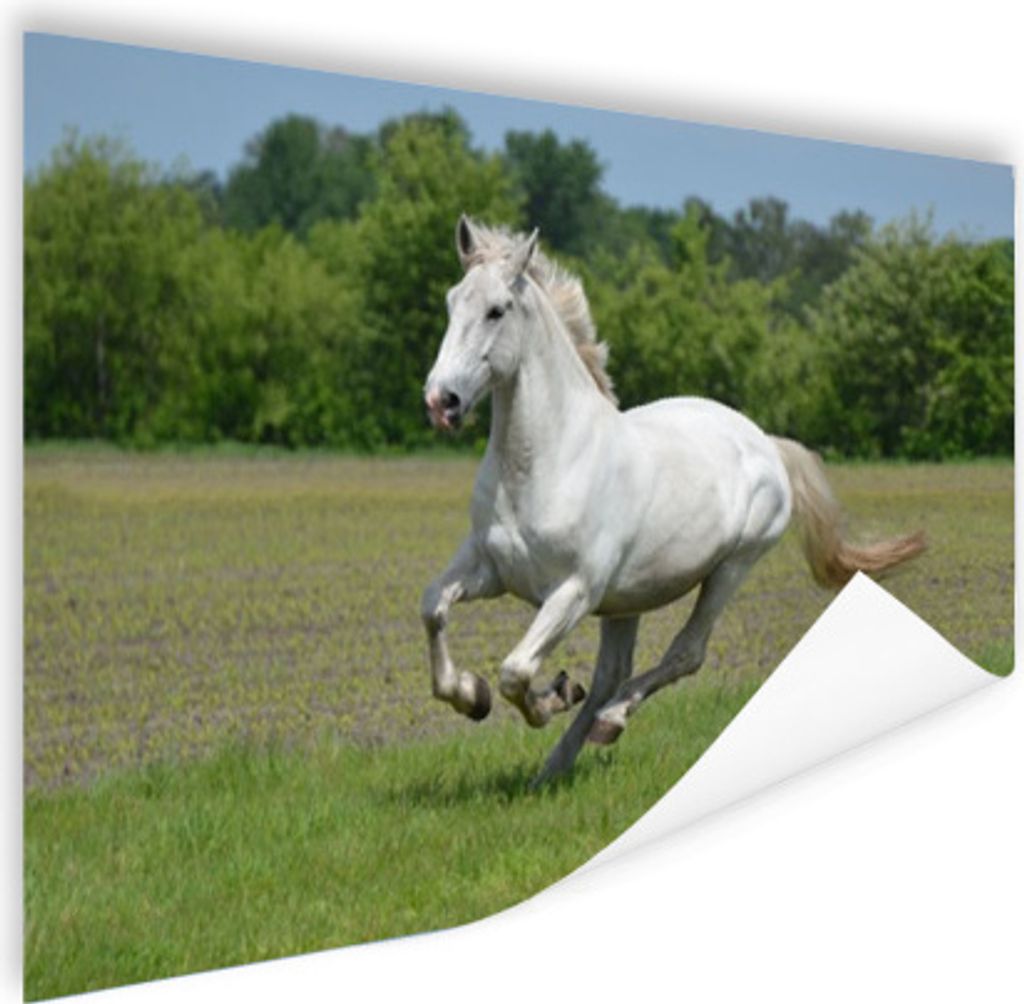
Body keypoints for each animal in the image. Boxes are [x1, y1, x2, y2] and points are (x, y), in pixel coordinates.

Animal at [421, 215, 925, 787]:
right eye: (451, 301)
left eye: (497, 310)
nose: (441, 401)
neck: (544, 465)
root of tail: (765, 442)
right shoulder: (489, 569)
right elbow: (433, 608)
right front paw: (472, 696)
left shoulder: (574, 591)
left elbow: (515, 671)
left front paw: (545, 699)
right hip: (626, 600)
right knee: (610, 674)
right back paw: (555, 764)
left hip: (730, 568)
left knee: (684, 654)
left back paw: (609, 721)